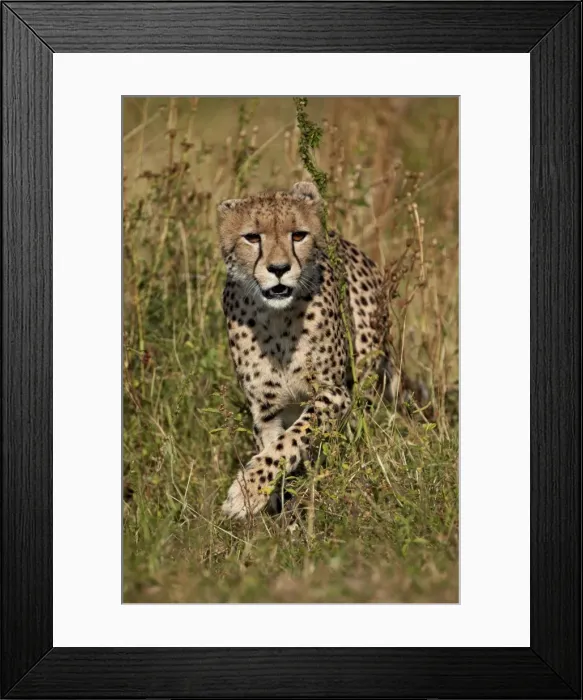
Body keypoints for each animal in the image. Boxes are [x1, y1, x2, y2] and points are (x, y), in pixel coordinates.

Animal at [217, 181, 426, 519]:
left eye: (298, 235)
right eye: (252, 237)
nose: (279, 268)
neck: (277, 320)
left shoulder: (334, 392)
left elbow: (291, 440)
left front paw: (246, 491)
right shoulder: (266, 409)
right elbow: (275, 446)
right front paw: (269, 498)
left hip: (364, 380)